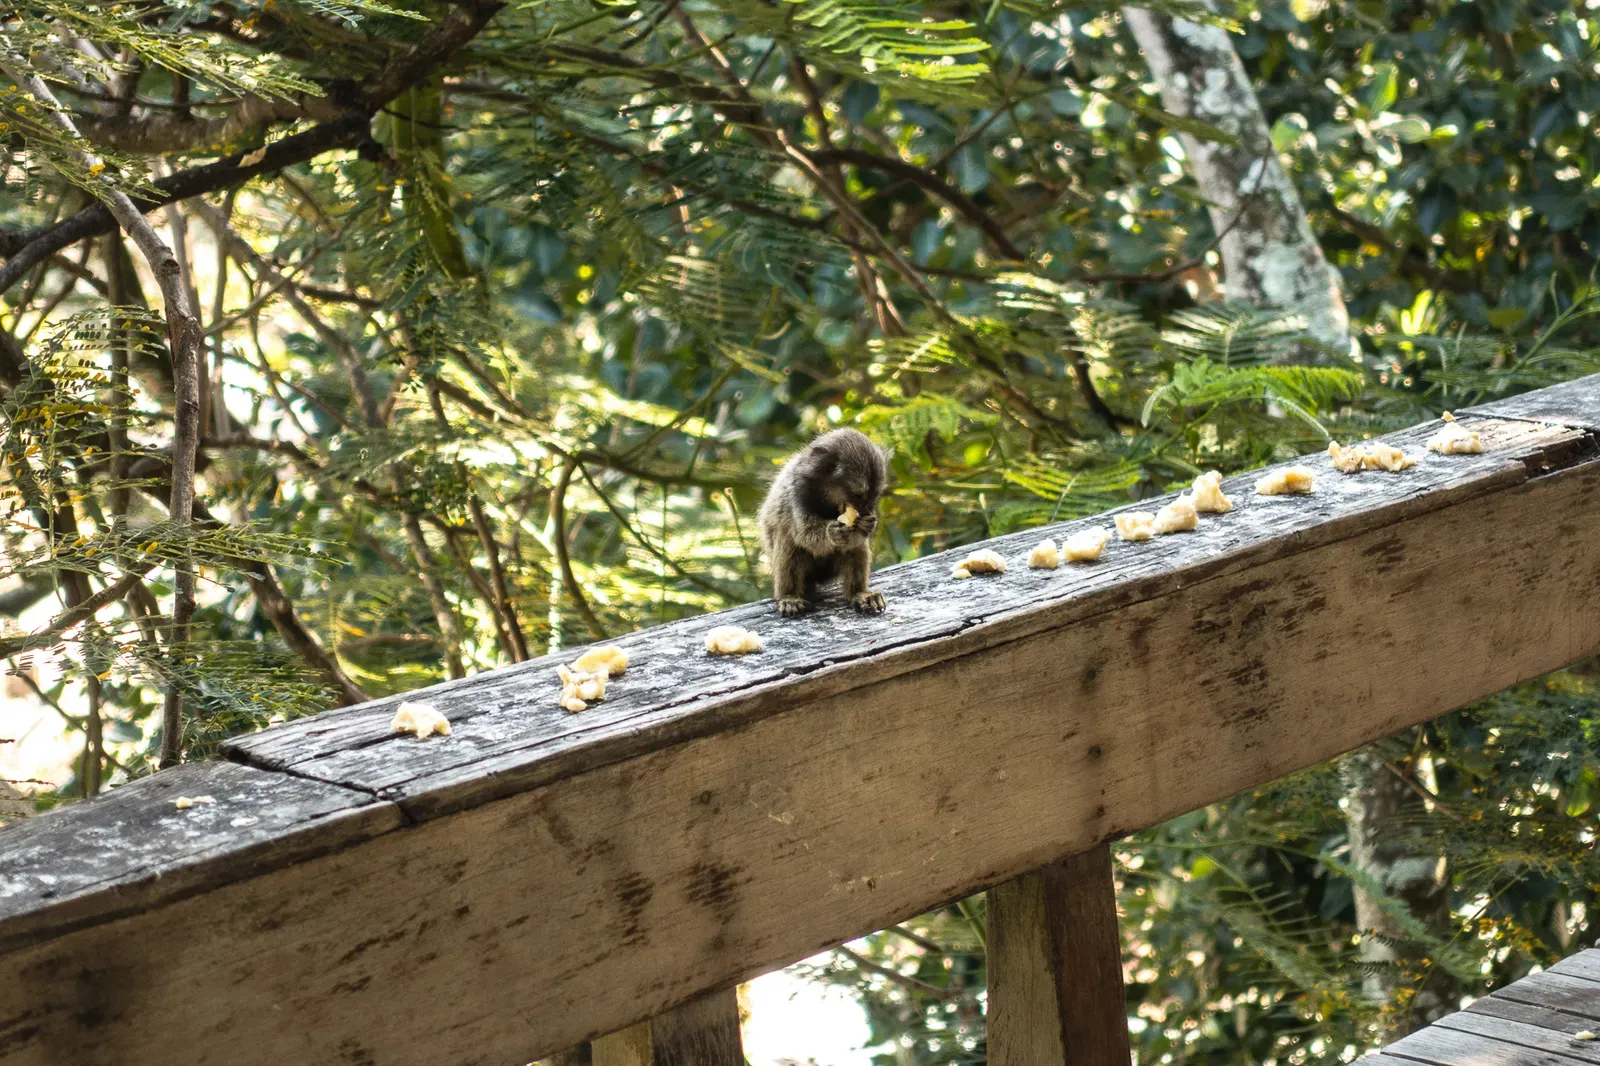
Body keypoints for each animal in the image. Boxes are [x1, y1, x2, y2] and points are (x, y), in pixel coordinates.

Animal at [757, 428, 889, 617]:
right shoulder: (796, 492)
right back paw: (789, 596)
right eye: (857, 494)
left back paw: (859, 593)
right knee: (787, 537)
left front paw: (866, 525)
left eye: (873, 496)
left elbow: (855, 541)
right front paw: (833, 532)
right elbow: (805, 534)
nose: (864, 510)